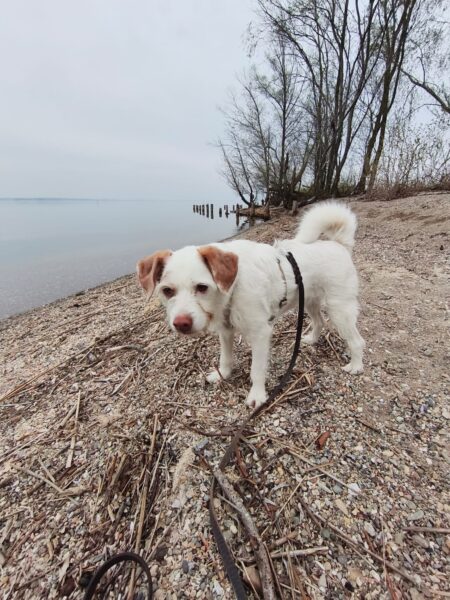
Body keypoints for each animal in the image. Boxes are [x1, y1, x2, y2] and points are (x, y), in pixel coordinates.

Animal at [137, 202, 365, 409]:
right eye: (167, 291)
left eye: (202, 287)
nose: (181, 323)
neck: (232, 288)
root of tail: (339, 245)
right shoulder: (226, 331)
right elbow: (225, 358)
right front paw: (223, 375)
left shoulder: (261, 334)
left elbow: (257, 370)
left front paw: (257, 395)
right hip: (309, 302)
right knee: (319, 322)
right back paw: (311, 339)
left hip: (339, 309)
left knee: (357, 341)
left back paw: (356, 365)